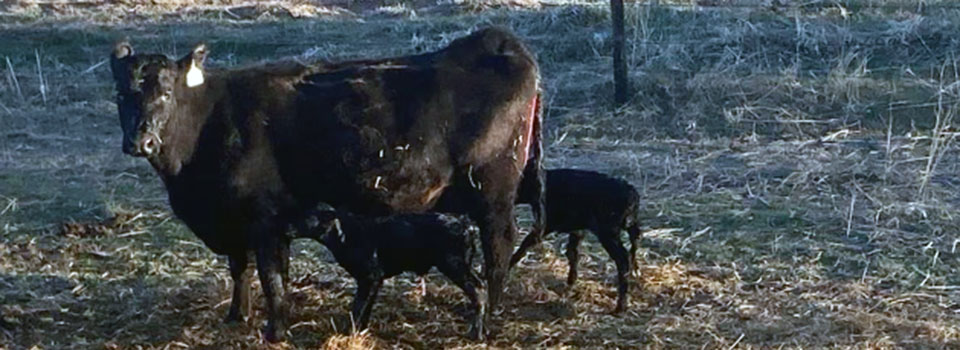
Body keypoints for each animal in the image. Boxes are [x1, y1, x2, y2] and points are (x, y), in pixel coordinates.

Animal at [296, 209, 484, 340]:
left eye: (306, 218)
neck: (347, 234)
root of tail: (466, 223)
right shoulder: (374, 280)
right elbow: (366, 307)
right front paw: (362, 330)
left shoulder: (369, 277)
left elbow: (358, 307)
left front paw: (351, 332)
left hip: (455, 266)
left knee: (478, 291)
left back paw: (476, 333)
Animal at [512, 169, 640, 312]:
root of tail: (631, 192)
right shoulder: (577, 230)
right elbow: (572, 253)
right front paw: (571, 281)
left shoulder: (544, 225)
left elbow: (524, 246)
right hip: (628, 225)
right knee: (635, 241)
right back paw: (635, 273)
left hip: (608, 233)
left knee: (622, 259)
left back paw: (621, 305)